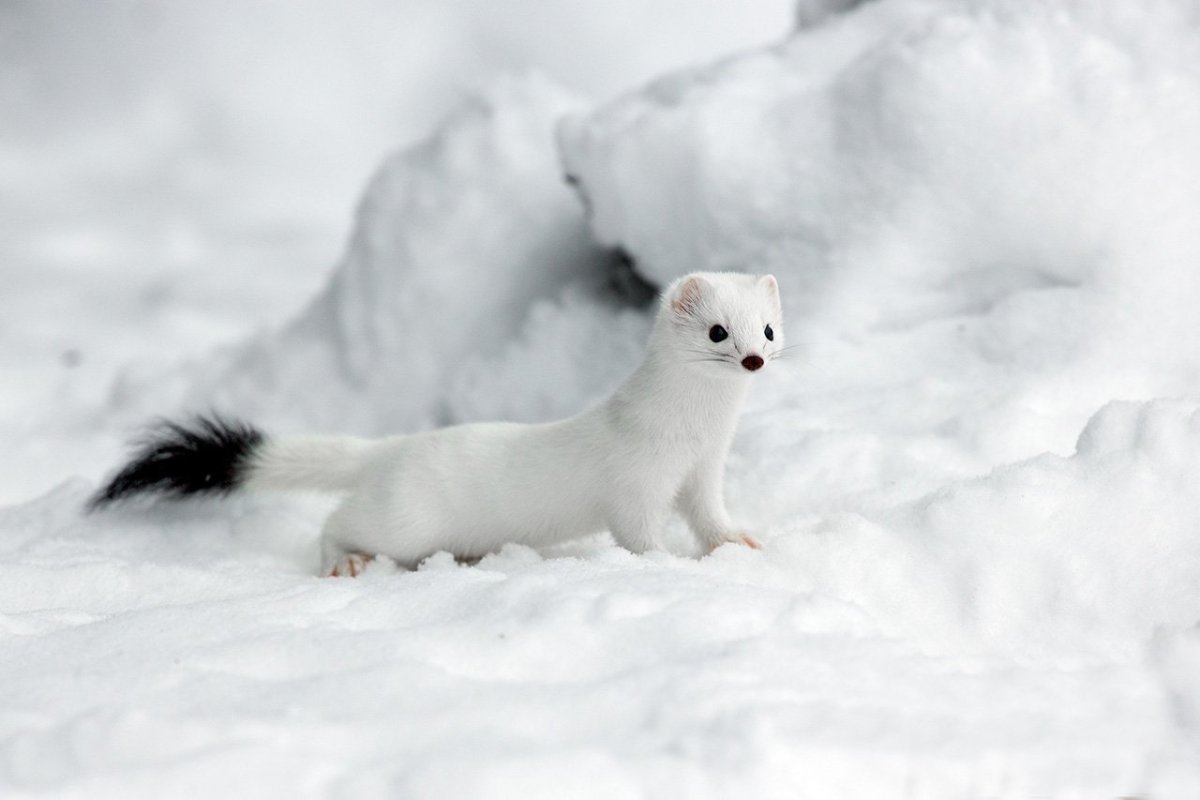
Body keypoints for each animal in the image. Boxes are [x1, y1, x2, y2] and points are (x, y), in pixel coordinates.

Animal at [96, 273, 787, 575]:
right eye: (717, 331)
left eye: (768, 329)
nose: (754, 358)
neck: (693, 433)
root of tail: (388, 450)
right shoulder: (633, 480)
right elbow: (636, 532)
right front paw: (667, 562)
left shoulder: (705, 469)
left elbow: (709, 514)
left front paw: (738, 542)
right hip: (402, 519)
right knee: (336, 522)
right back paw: (345, 562)